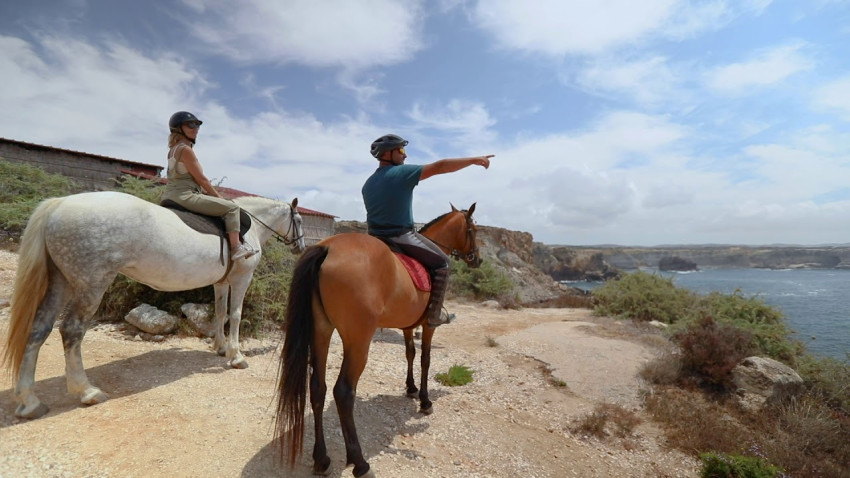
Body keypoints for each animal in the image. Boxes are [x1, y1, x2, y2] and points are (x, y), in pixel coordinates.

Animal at [0, 190, 304, 418]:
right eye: (299, 220)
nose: (300, 247)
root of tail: (60, 204)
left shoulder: (221, 282)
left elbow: (220, 313)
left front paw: (220, 347)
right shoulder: (242, 278)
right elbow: (236, 315)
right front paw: (236, 355)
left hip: (61, 282)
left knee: (39, 328)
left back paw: (30, 401)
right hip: (91, 285)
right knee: (71, 331)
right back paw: (86, 391)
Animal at [274, 203, 480, 478]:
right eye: (473, 230)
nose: (478, 259)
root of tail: (327, 248)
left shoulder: (407, 326)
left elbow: (409, 353)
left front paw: (411, 388)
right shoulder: (428, 326)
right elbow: (425, 359)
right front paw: (425, 400)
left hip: (321, 332)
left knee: (318, 388)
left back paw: (322, 459)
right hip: (358, 341)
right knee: (343, 392)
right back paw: (360, 463)